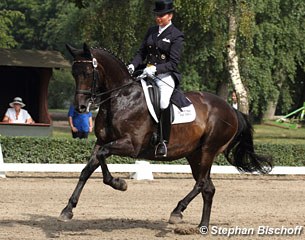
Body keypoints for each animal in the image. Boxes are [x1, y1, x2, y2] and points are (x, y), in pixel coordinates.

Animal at [58, 43, 270, 231]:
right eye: (74, 73)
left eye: (87, 73)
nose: (80, 107)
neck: (121, 97)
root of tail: (232, 110)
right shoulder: (101, 141)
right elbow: (86, 170)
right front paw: (68, 210)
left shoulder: (130, 144)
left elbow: (102, 156)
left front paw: (120, 184)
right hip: (195, 155)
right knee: (208, 188)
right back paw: (202, 226)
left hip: (208, 150)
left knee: (201, 183)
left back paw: (177, 212)